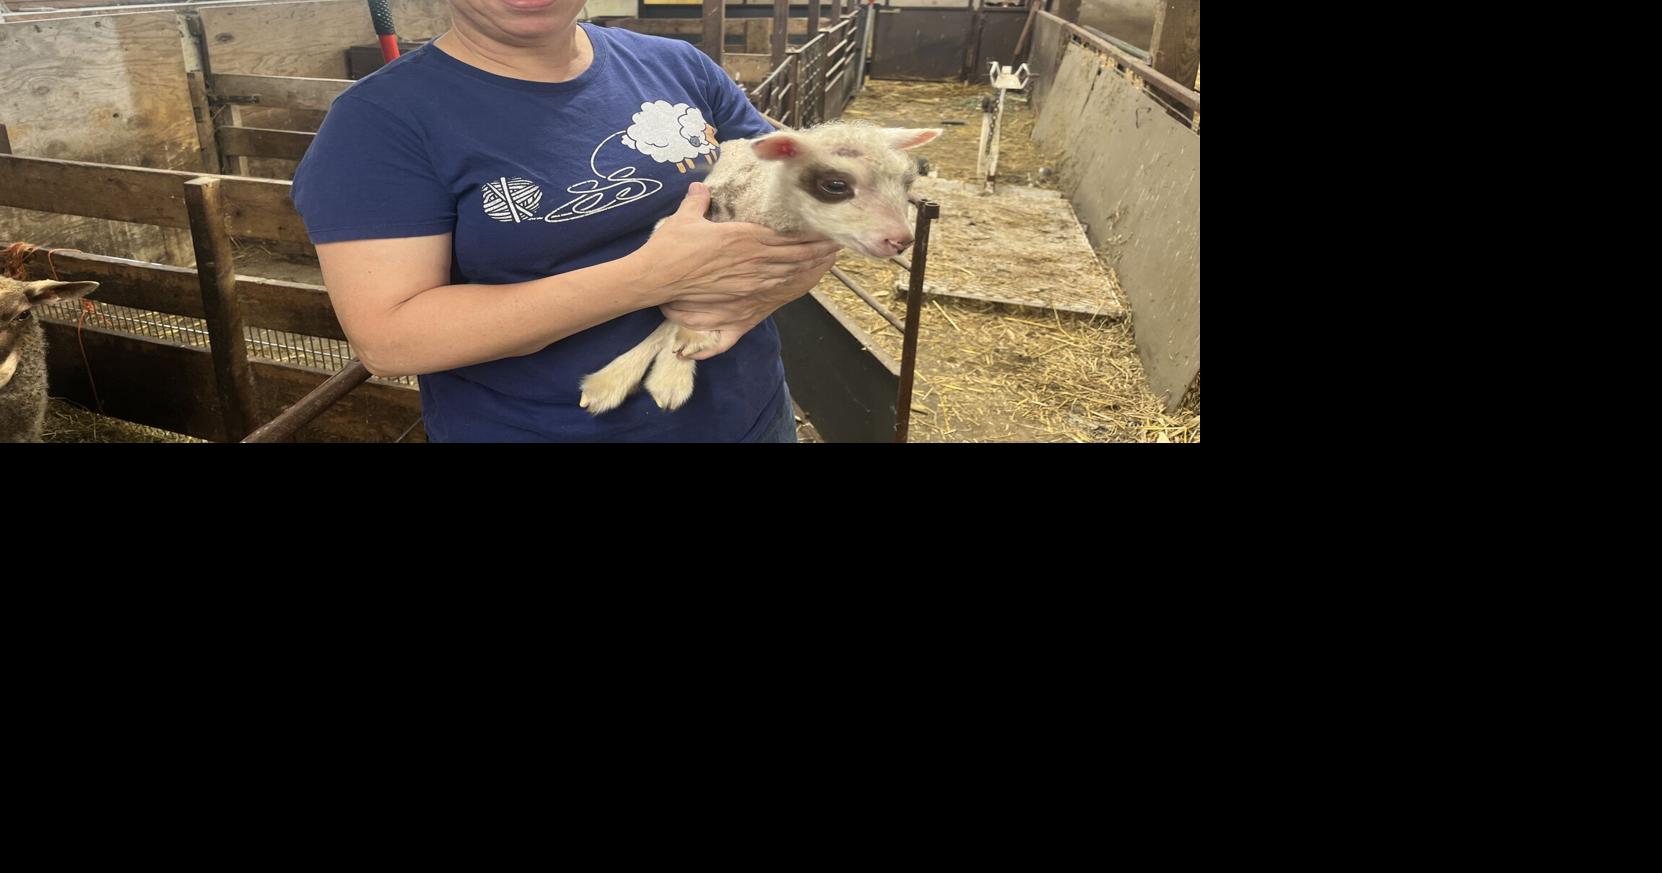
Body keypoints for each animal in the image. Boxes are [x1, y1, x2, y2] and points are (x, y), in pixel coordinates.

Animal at [579, 121, 942, 416]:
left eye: (906, 181)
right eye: (836, 185)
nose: (901, 241)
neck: (760, 206)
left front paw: (675, 365)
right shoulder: (682, 232)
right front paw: (676, 357)